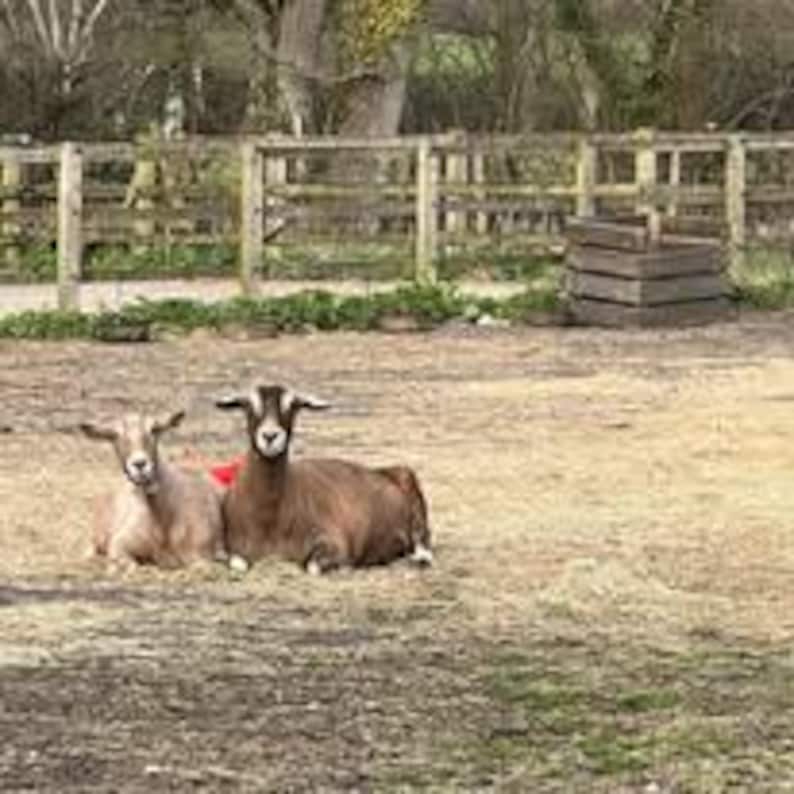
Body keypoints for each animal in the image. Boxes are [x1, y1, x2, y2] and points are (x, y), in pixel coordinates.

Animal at [80, 411, 226, 571]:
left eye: (154, 429)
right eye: (114, 435)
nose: (140, 464)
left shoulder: (201, 554)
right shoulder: (120, 544)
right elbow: (129, 564)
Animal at [216, 384, 433, 574]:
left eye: (293, 406)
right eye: (248, 405)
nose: (270, 436)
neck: (270, 520)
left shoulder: (334, 543)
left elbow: (313, 567)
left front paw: (345, 567)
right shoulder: (235, 550)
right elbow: (237, 564)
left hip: (408, 480)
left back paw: (419, 558)